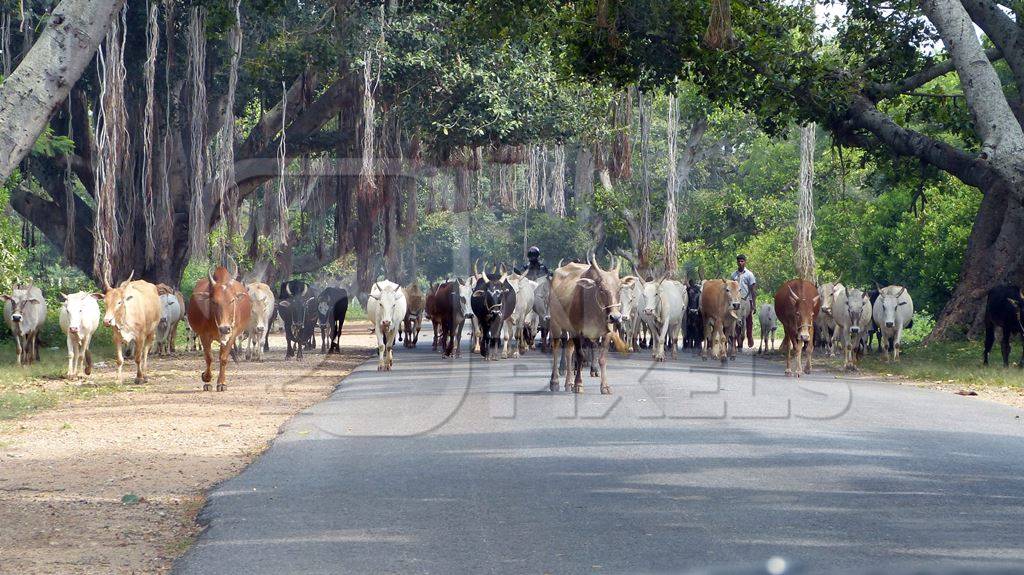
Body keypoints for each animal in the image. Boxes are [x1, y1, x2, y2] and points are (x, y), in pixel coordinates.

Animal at [187, 258, 252, 388]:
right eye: (214, 301)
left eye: (232, 300)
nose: (224, 328)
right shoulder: (204, 335)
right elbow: (209, 357)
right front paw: (206, 378)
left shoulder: (231, 334)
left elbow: (223, 357)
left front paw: (221, 383)